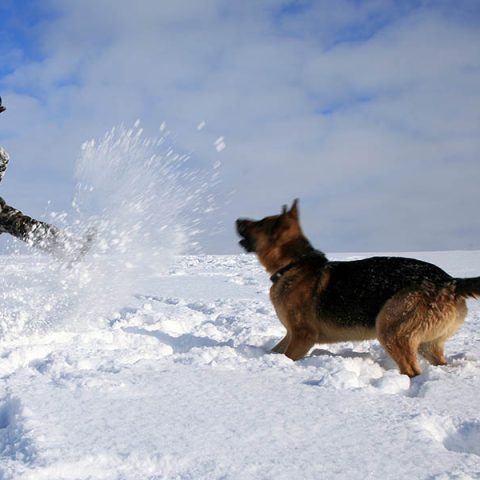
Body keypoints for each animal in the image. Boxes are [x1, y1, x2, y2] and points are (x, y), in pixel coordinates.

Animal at [236, 201, 480, 376]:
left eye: (261, 223)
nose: (238, 219)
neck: (293, 264)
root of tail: (451, 282)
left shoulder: (303, 337)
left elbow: (287, 356)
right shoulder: (291, 335)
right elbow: (274, 350)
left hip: (390, 328)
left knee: (412, 370)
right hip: (425, 343)